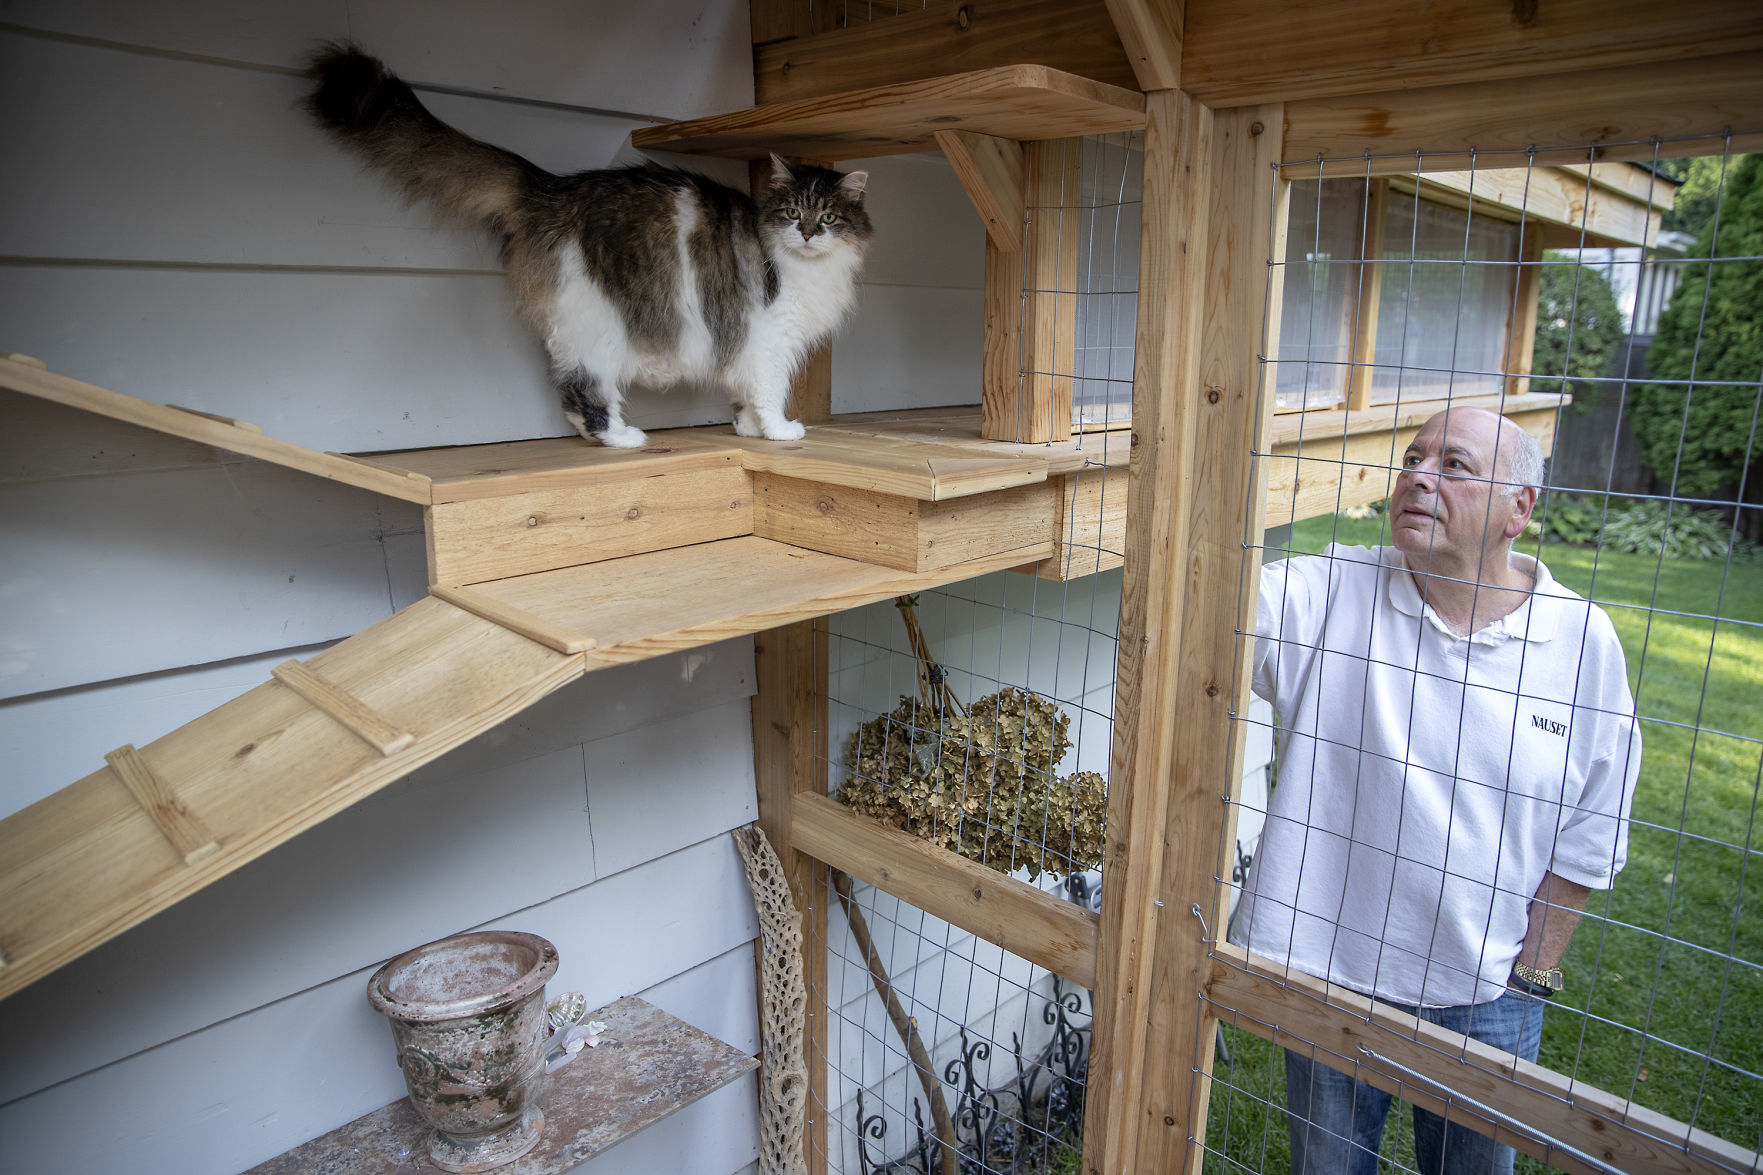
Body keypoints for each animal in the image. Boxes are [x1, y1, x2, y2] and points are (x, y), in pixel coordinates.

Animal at [312, 43, 881, 446]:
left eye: (829, 217)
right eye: (793, 213)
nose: (808, 232)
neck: (806, 265)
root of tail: (548, 186)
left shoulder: (742, 343)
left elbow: (742, 394)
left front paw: (747, 429)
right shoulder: (769, 338)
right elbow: (769, 391)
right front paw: (780, 431)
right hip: (596, 324)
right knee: (585, 389)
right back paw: (623, 438)